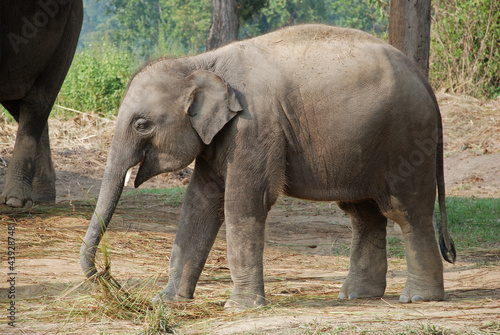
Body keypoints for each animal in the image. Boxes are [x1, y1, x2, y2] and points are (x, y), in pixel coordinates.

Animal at [79, 25, 458, 310]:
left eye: (142, 124)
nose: (109, 279)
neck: (200, 63)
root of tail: (425, 81)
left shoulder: (254, 127)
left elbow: (243, 202)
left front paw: (239, 308)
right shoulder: (220, 135)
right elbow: (199, 204)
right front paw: (167, 302)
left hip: (407, 139)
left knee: (406, 211)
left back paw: (417, 298)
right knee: (363, 213)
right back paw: (356, 296)